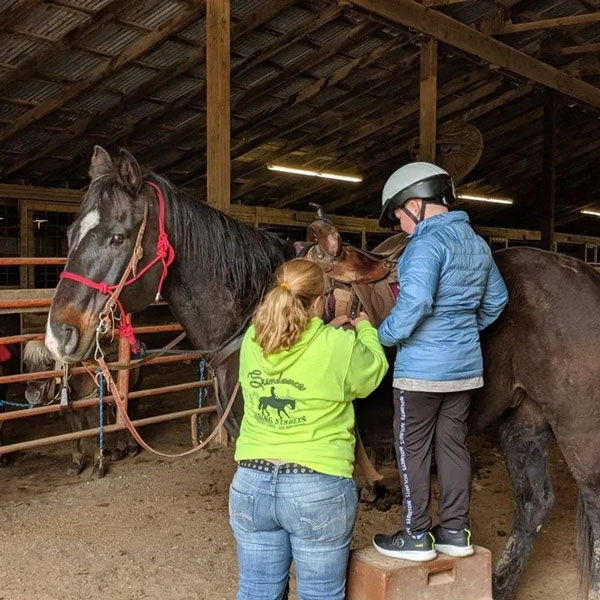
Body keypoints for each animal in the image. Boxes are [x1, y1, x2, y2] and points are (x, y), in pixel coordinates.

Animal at [45, 145, 600, 600]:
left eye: (118, 236)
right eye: (70, 233)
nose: (60, 336)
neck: (256, 306)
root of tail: (584, 276)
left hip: (577, 429)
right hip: (523, 420)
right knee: (534, 506)